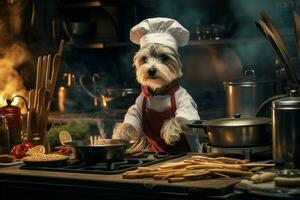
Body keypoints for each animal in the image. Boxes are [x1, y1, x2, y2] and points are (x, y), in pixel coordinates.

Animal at [112, 17, 199, 152]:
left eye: (163, 57)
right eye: (144, 58)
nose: (151, 70)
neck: (159, 92)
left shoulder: (186, 103)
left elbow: (178, 118)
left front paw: (170, 131)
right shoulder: (138, 105)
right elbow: (131, 120)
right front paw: (121, 131)